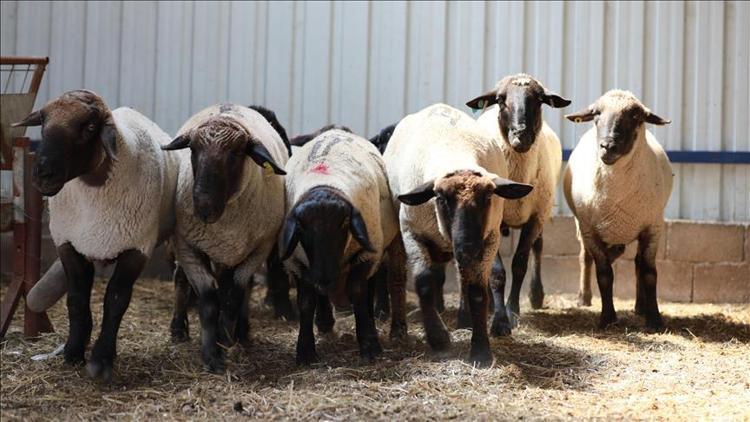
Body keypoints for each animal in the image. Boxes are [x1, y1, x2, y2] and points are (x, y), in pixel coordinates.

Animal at [13, 90, 181, 382]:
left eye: (90, 128)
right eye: (43, 123)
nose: (43, 175)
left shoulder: (137, 247)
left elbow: (115, 300)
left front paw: (101, 360)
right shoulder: (68, 243)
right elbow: (77, 300)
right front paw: (73, 352)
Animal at [280, 125, 406, 362]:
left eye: (344, 223)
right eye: (301, 229)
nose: (325, 275)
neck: (324, 185)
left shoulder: (367, 255)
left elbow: (358, 292)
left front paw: (370, 345)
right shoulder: (297, 262)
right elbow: (306, 302)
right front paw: (305, 351)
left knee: (370, 290)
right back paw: (325, 323)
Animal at [382, 103, 536, 366]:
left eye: (488, 196)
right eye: (440, 198)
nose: (468, 248)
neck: (454, 151)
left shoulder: (489, 239)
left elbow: (477, 291)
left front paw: (481, 351)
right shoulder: (412, 233)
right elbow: (424, 282)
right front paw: (438, 338)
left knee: (463, 277)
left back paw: (464, 321)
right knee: (399, 277)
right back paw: (399, 330)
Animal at [468, 74, 572, 334]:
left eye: (539, 99)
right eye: (500, 100)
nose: (520, 137)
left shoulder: (536, 217)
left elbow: (519, 264)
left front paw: (512, 312)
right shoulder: (492, 219)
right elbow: (496, 271)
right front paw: (498, 319)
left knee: (539, 247)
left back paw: (536, 295)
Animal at [564, 90, 676, 332]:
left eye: (635, 116)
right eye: (596, 113)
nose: (607, 147)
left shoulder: (652, 227)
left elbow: (649, 273)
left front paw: (654, 319)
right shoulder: (590, 230)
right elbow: (604, 273)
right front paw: (607, 318)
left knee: (637, 263)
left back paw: (640, 307)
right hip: (581, 225)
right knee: (585, 257)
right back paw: (584, 298)